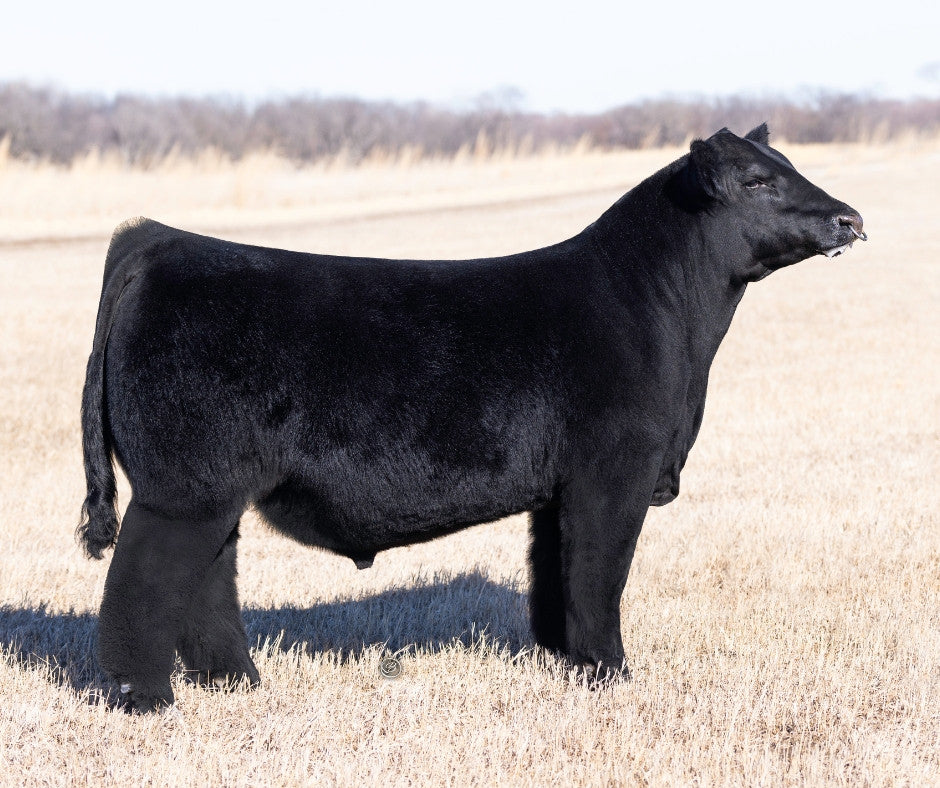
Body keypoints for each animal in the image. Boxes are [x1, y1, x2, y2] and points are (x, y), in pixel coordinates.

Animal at [78, 125, 866, 711]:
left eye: (789, 165)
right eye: (756, 181)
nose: (849, 218)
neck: (661, 311)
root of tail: (159, 241)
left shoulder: (561, 489)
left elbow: (555, 575)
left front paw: (563, 662)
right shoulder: (615, 473)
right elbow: (599, 576)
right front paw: (610, 674)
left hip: (214, 491)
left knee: (208, 579)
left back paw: (236, 683)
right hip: (181, 489)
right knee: (142, 581)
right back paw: (146, 698)